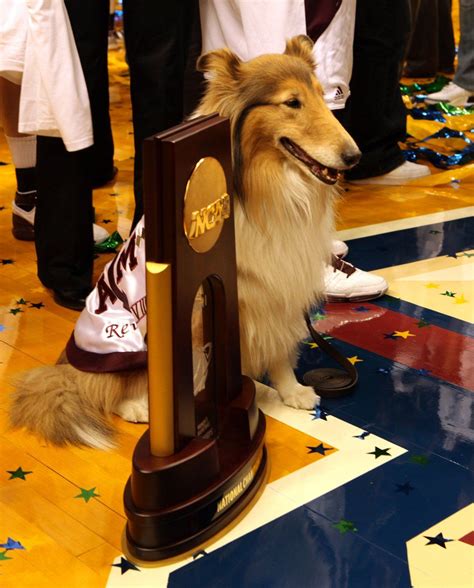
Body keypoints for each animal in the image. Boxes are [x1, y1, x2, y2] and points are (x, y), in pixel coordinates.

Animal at [9, 36, 360, 448]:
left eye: (323, 95)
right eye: (292, 103)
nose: (355, 157)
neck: (265, 183)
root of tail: (67, 366)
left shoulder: (277, 289)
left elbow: (277, 348)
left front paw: (291, 391)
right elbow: (202, 368)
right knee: (111, 389)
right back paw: (139, 407)